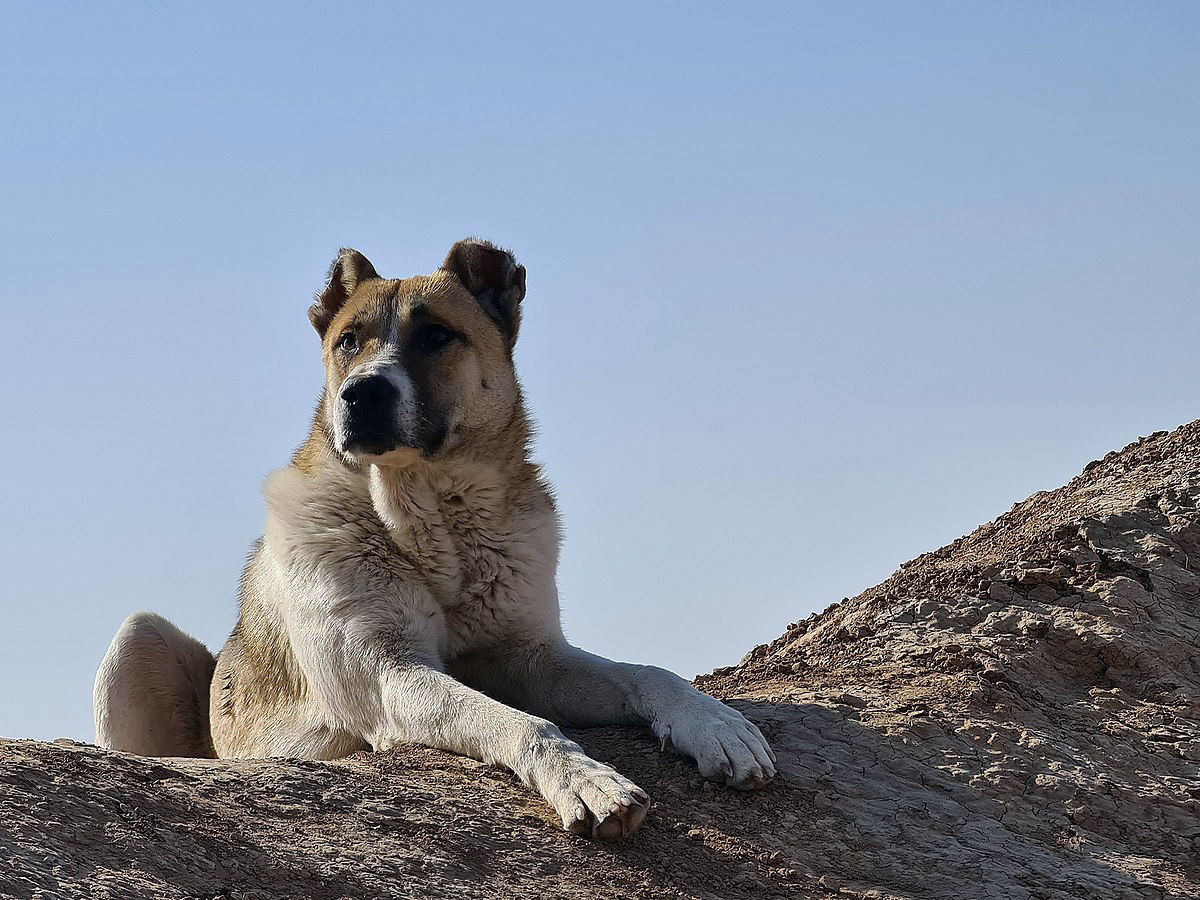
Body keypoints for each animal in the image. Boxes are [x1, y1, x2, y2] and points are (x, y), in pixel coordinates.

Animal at [88, 240, 772, 840]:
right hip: (137, 640)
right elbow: (518, 722)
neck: (438, 523)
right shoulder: (389, 675)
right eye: (348, 341)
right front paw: (588, 782)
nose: (361, 393)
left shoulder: (528, 657)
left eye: (437, 336)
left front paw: (716, 724)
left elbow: (646, 674)